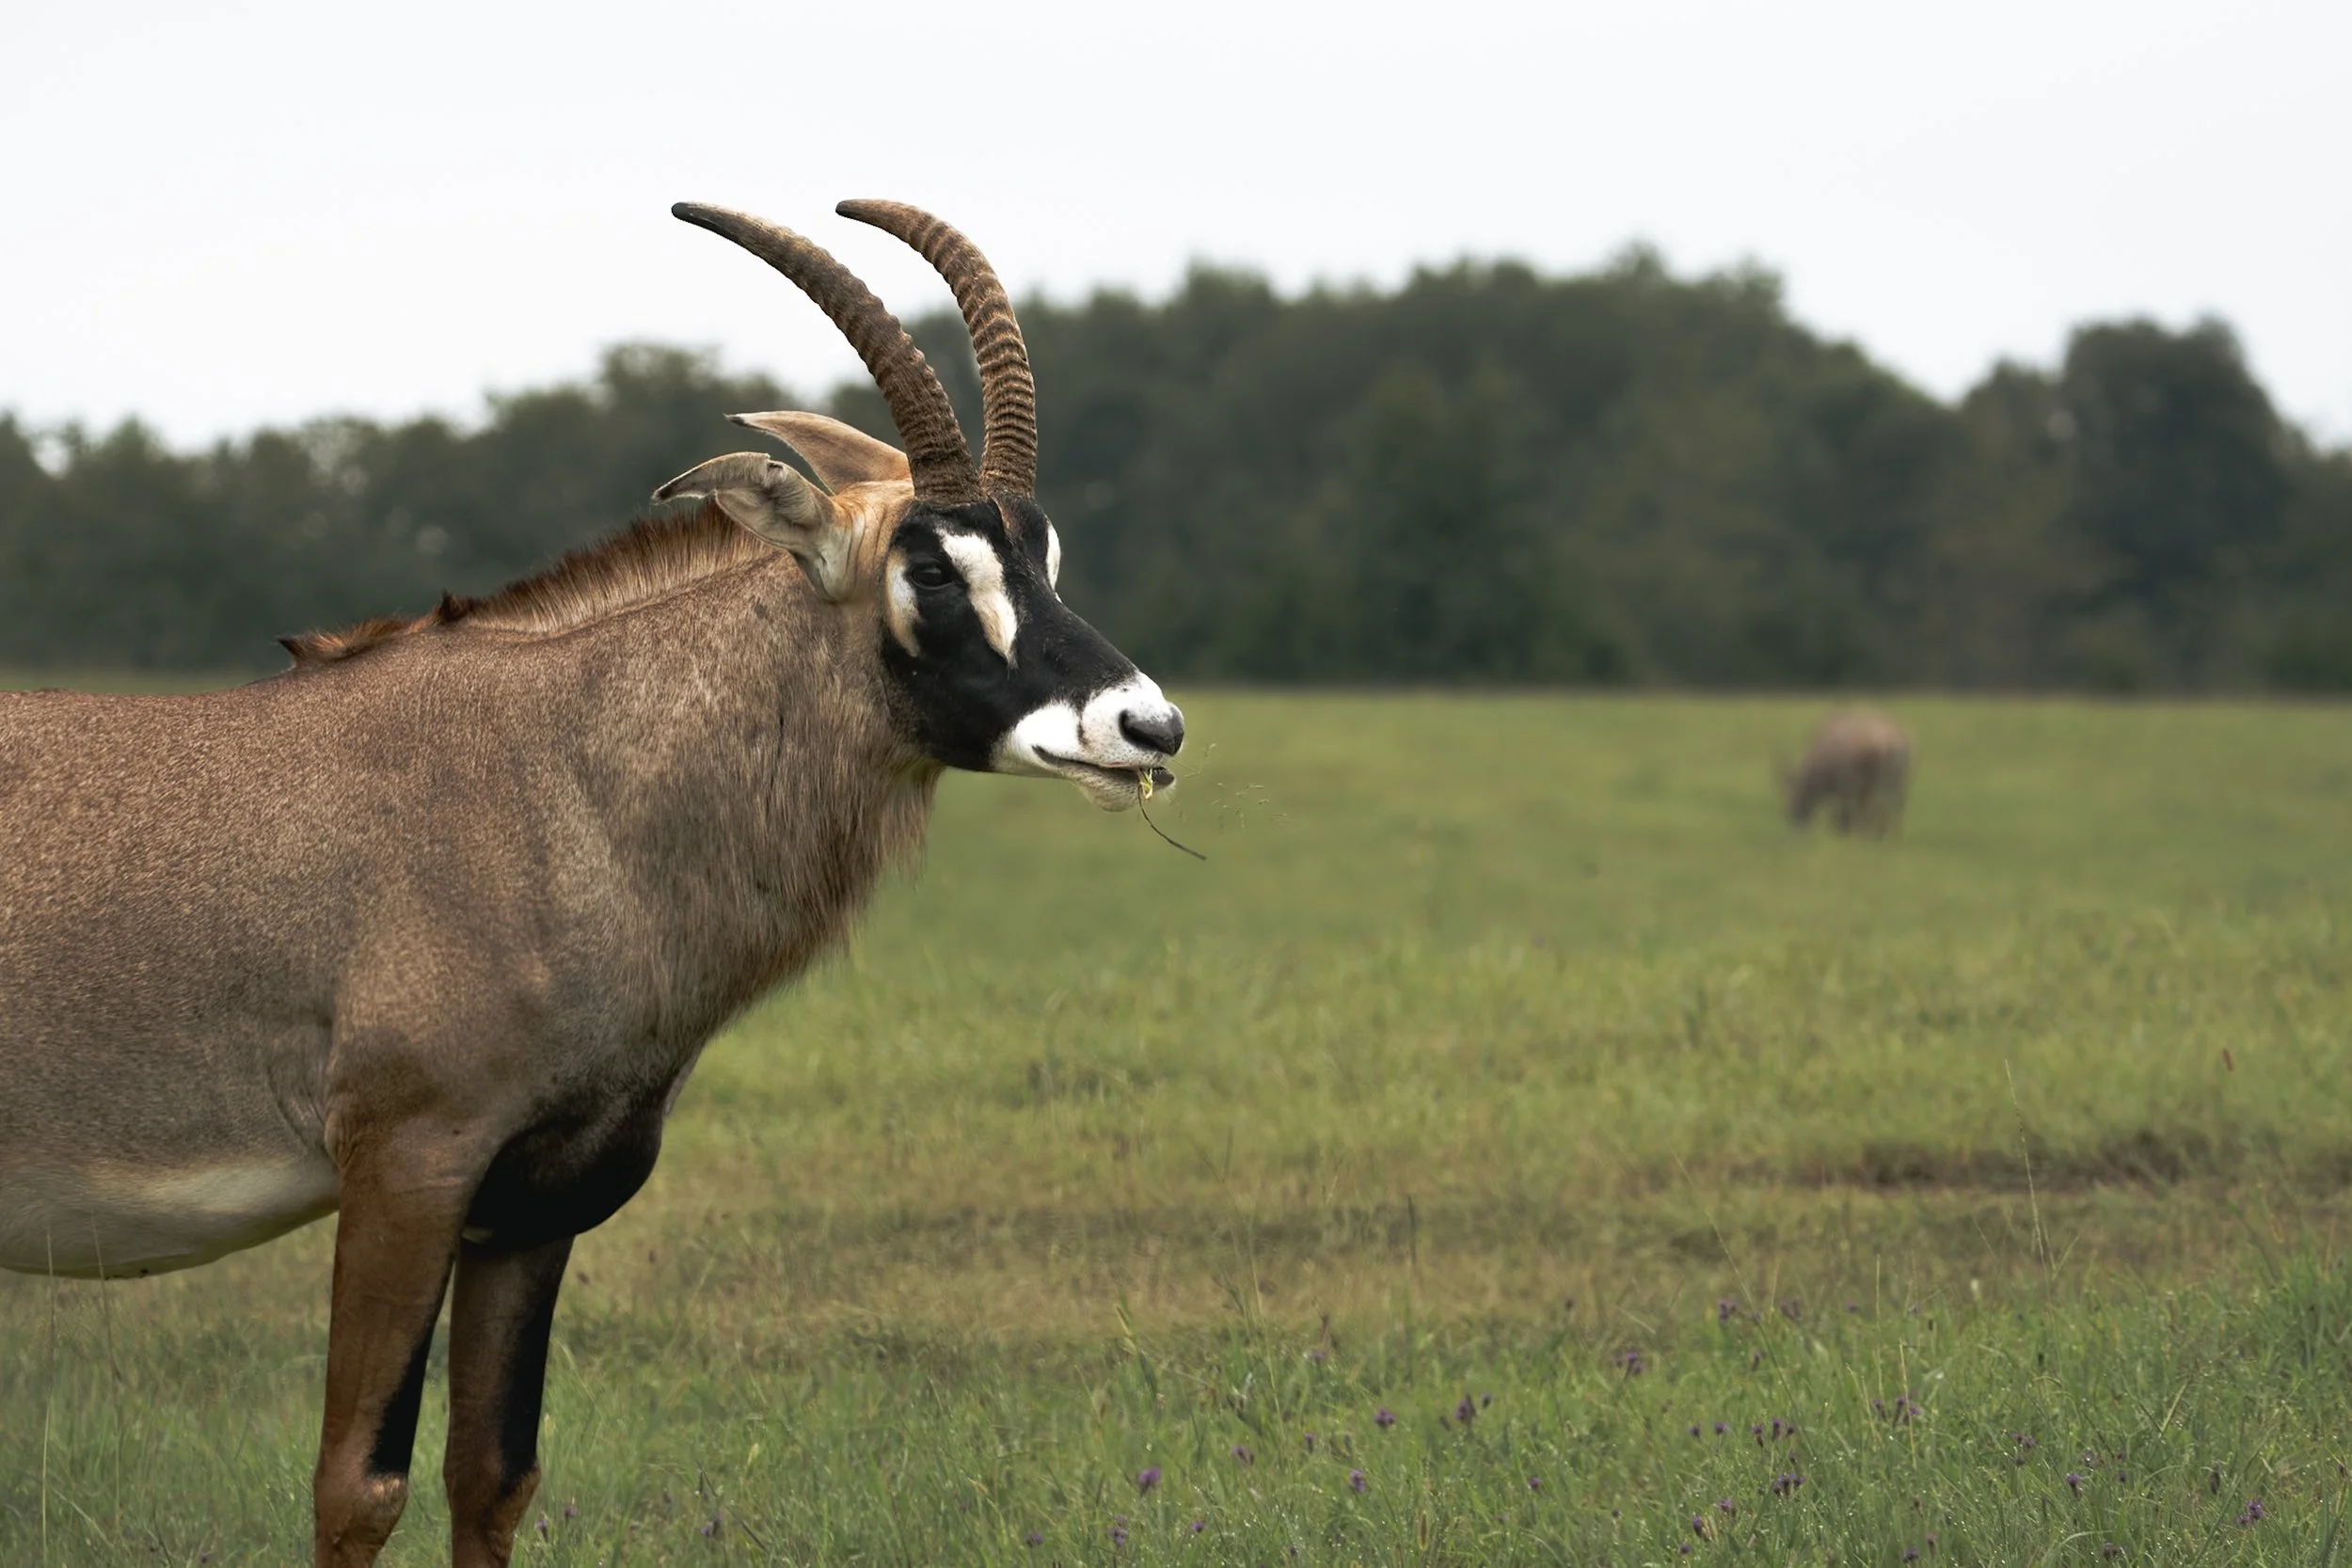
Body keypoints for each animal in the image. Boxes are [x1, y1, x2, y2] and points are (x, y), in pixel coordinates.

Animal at [0, 201, 1185, 1566]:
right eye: (932, 567)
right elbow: (358, 1485)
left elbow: (491, 1473)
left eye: (1043, 551)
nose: (1147, 724)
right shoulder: (406, 1167)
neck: (562, 777)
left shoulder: (533, 1205)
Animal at [1784, 707, 1911, 835]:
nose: (1795, 818)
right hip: (1895, 783)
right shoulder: (1861, 789)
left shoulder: (1848, 786)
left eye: (1795, 794)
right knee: (1894, 806)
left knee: (1879, 808)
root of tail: (1888, 742)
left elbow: (1847, 811)